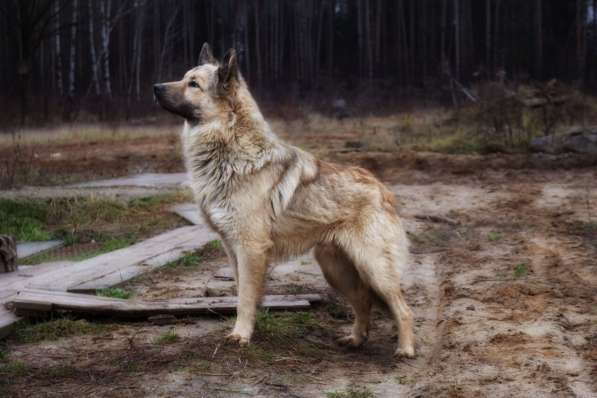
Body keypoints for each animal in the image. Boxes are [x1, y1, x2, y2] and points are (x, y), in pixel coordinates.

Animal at [152, 42, 414, 358]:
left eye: (193, 84)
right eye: (184, 77)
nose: (154, 87)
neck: (229, 145)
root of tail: (382, 189)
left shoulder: (250, 249)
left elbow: (245, 298)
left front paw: (240, 336)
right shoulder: (233, 249)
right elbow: (243, 294)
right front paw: (249, 332)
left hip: (373, 267)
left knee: (402, 308)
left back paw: (406, 350)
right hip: (335, 269)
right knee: (363, 301)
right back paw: (355, 340)